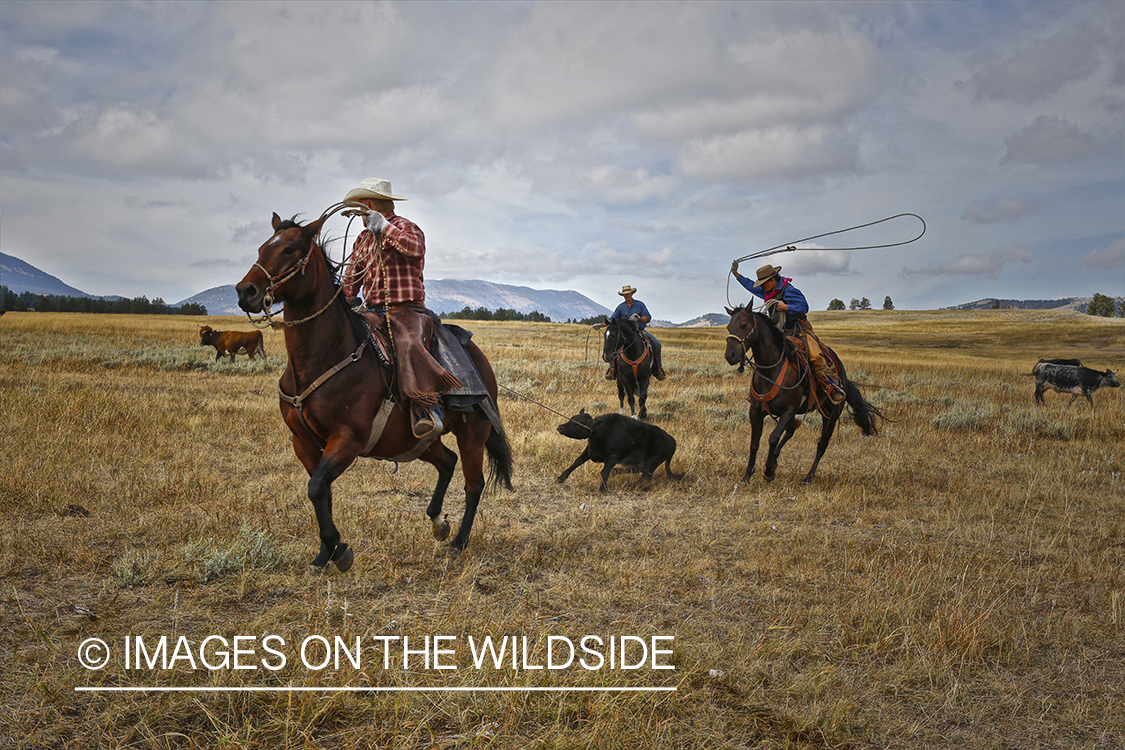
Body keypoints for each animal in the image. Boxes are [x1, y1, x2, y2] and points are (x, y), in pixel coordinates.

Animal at [241, 211, 515, 568]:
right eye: (262, 247)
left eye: (290, 249)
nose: (245, 291)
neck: (322, 357)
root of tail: (477, 355)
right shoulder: (303, 442)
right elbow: (321, 492)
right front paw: (324, 554)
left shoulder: (348, 439)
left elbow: (316, 488)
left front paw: (339, 550)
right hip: (416, 441)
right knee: (447, 461)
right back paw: (437, 521)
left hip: (473, 433)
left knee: (473, 483)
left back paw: (459, 542)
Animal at [555, 411, 684, 492]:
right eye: (572, 419)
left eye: (579, 425)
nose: (560, 427)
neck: (600, 432)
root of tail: (672, 440)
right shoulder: (589, 451)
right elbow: (576, 462)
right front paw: (561, 478)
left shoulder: (613, 457)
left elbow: (604, 472)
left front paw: (602, 489)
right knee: (640, 471)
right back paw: (618, 472)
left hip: (652, 461)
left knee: (644, 477)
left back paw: (630, 485)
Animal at [724, 308, 882, 483]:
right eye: (729, 327)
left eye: (744, 324)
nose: (730, 355)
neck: (770, 371)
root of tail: (844, 380)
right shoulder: (756, 411)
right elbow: (754, 443)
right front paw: (747, 476)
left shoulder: (788, 411)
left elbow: (773, 437)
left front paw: (768, 471)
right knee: (791, 431)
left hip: (831, 414)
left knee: (822, 443)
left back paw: (808, 476)